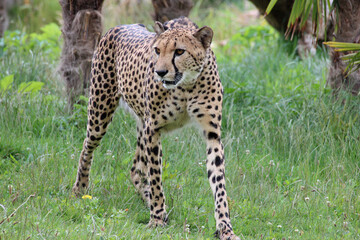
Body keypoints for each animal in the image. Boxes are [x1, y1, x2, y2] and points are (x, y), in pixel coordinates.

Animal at [72, 16, 239, 240]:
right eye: (157, 50)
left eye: (179, 51)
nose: (160, 72)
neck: (186, 86)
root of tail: (124, 25)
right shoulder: (153, 129)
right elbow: (156, 177)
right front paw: (157, 219)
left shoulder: (212, 133)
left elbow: (219, 184)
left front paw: (225, 228)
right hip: (101, 111)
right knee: (88, 146)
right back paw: (80, 188)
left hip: (140, 124)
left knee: (135, 169)